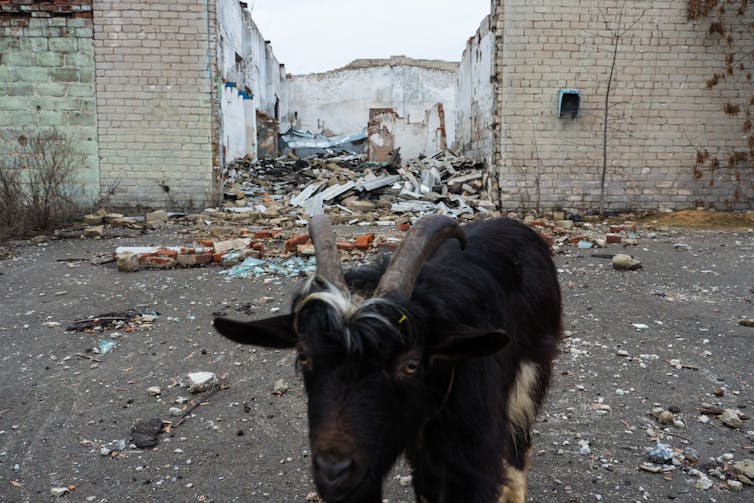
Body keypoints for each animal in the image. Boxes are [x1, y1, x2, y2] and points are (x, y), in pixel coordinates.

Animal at [212, 216, 560, 503]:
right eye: (304, 356)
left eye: (410, 364)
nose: (333, 471)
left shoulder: (471, 457)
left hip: (530, 376)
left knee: (518, 447)